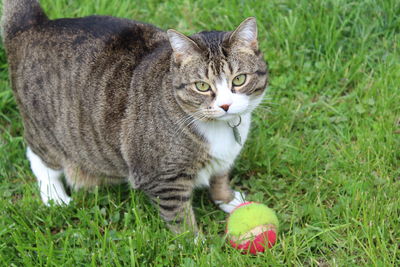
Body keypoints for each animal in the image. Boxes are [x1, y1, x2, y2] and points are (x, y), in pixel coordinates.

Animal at [2, 0, 268, 234]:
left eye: (239, 80)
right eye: (202, 86)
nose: (225, 105)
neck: (222, 128)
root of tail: (32, 25)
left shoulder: (224, 159)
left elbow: (220, 177)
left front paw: (228, 200)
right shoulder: (164, 178)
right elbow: (179, 216)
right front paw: (195, 244)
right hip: (47, 132)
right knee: (38, 157)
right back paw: (55, 196)